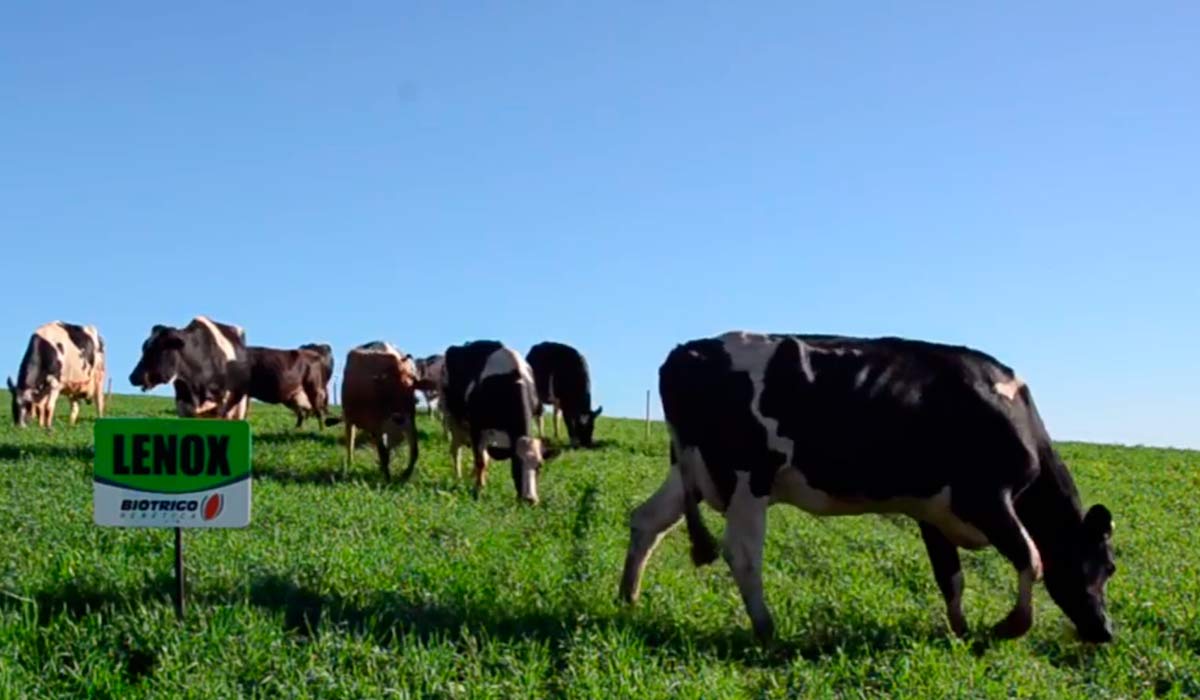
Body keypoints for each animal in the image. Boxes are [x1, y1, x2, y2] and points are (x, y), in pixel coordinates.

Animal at [338, 343, 422, 485]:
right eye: (388, 386)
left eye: (411, 383)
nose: (398, 417)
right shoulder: (377, 424)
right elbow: (383, 453)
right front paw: (388, 479)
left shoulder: (409, 422)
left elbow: (414, 450)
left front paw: (405, 474)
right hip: (349, 419)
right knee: (350, 444)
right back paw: (350, 465)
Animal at [441, 338, 544, 504]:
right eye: (516, 464)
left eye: (539, 466)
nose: (530, 499)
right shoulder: (476, 426)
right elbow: (480, 460)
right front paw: (478, 490)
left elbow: (484, 458)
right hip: (452, 417)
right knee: (456, 450)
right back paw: (459, 477)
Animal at [624, 333, 1118, 648]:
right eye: (1105, 567)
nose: (1105, 630)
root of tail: (685, 352)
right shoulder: (987, 499)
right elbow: (1031, 558)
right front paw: (1010, 626)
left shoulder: (933, 512)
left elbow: (951, 577)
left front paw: (959, 630)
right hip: (749, 480)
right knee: (743, 554)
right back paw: (767, 630)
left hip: (692, 472)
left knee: (647, 520)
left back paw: (627, 599)